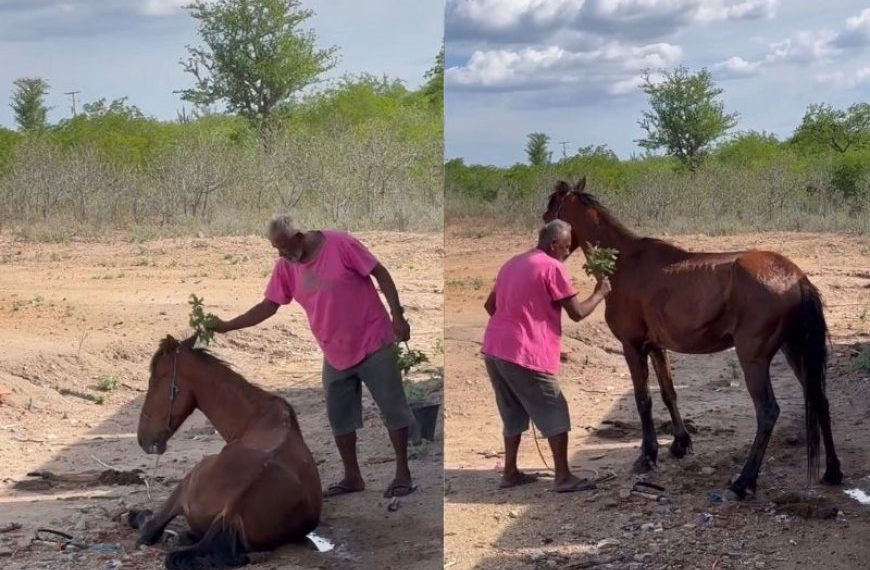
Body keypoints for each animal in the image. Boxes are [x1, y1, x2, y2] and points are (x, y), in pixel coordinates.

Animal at [129, 335, 322, 569]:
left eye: (154, 382)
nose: (143, 439)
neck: (259, 417)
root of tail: (233, 506)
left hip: (188, 481)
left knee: (150, 530)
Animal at [543, 177, 843, 501]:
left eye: (551, 205)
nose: (541, 233)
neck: (623, 263)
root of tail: (796, 277)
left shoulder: (632, 347)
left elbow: (643, 399)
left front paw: (647, 456)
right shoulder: (656, 347)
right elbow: (668, 393)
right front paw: (680, 444)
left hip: (753, 358)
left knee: (768, 412)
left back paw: (743, 483)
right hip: (795, 350)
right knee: (820, 398)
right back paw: (832, 472)